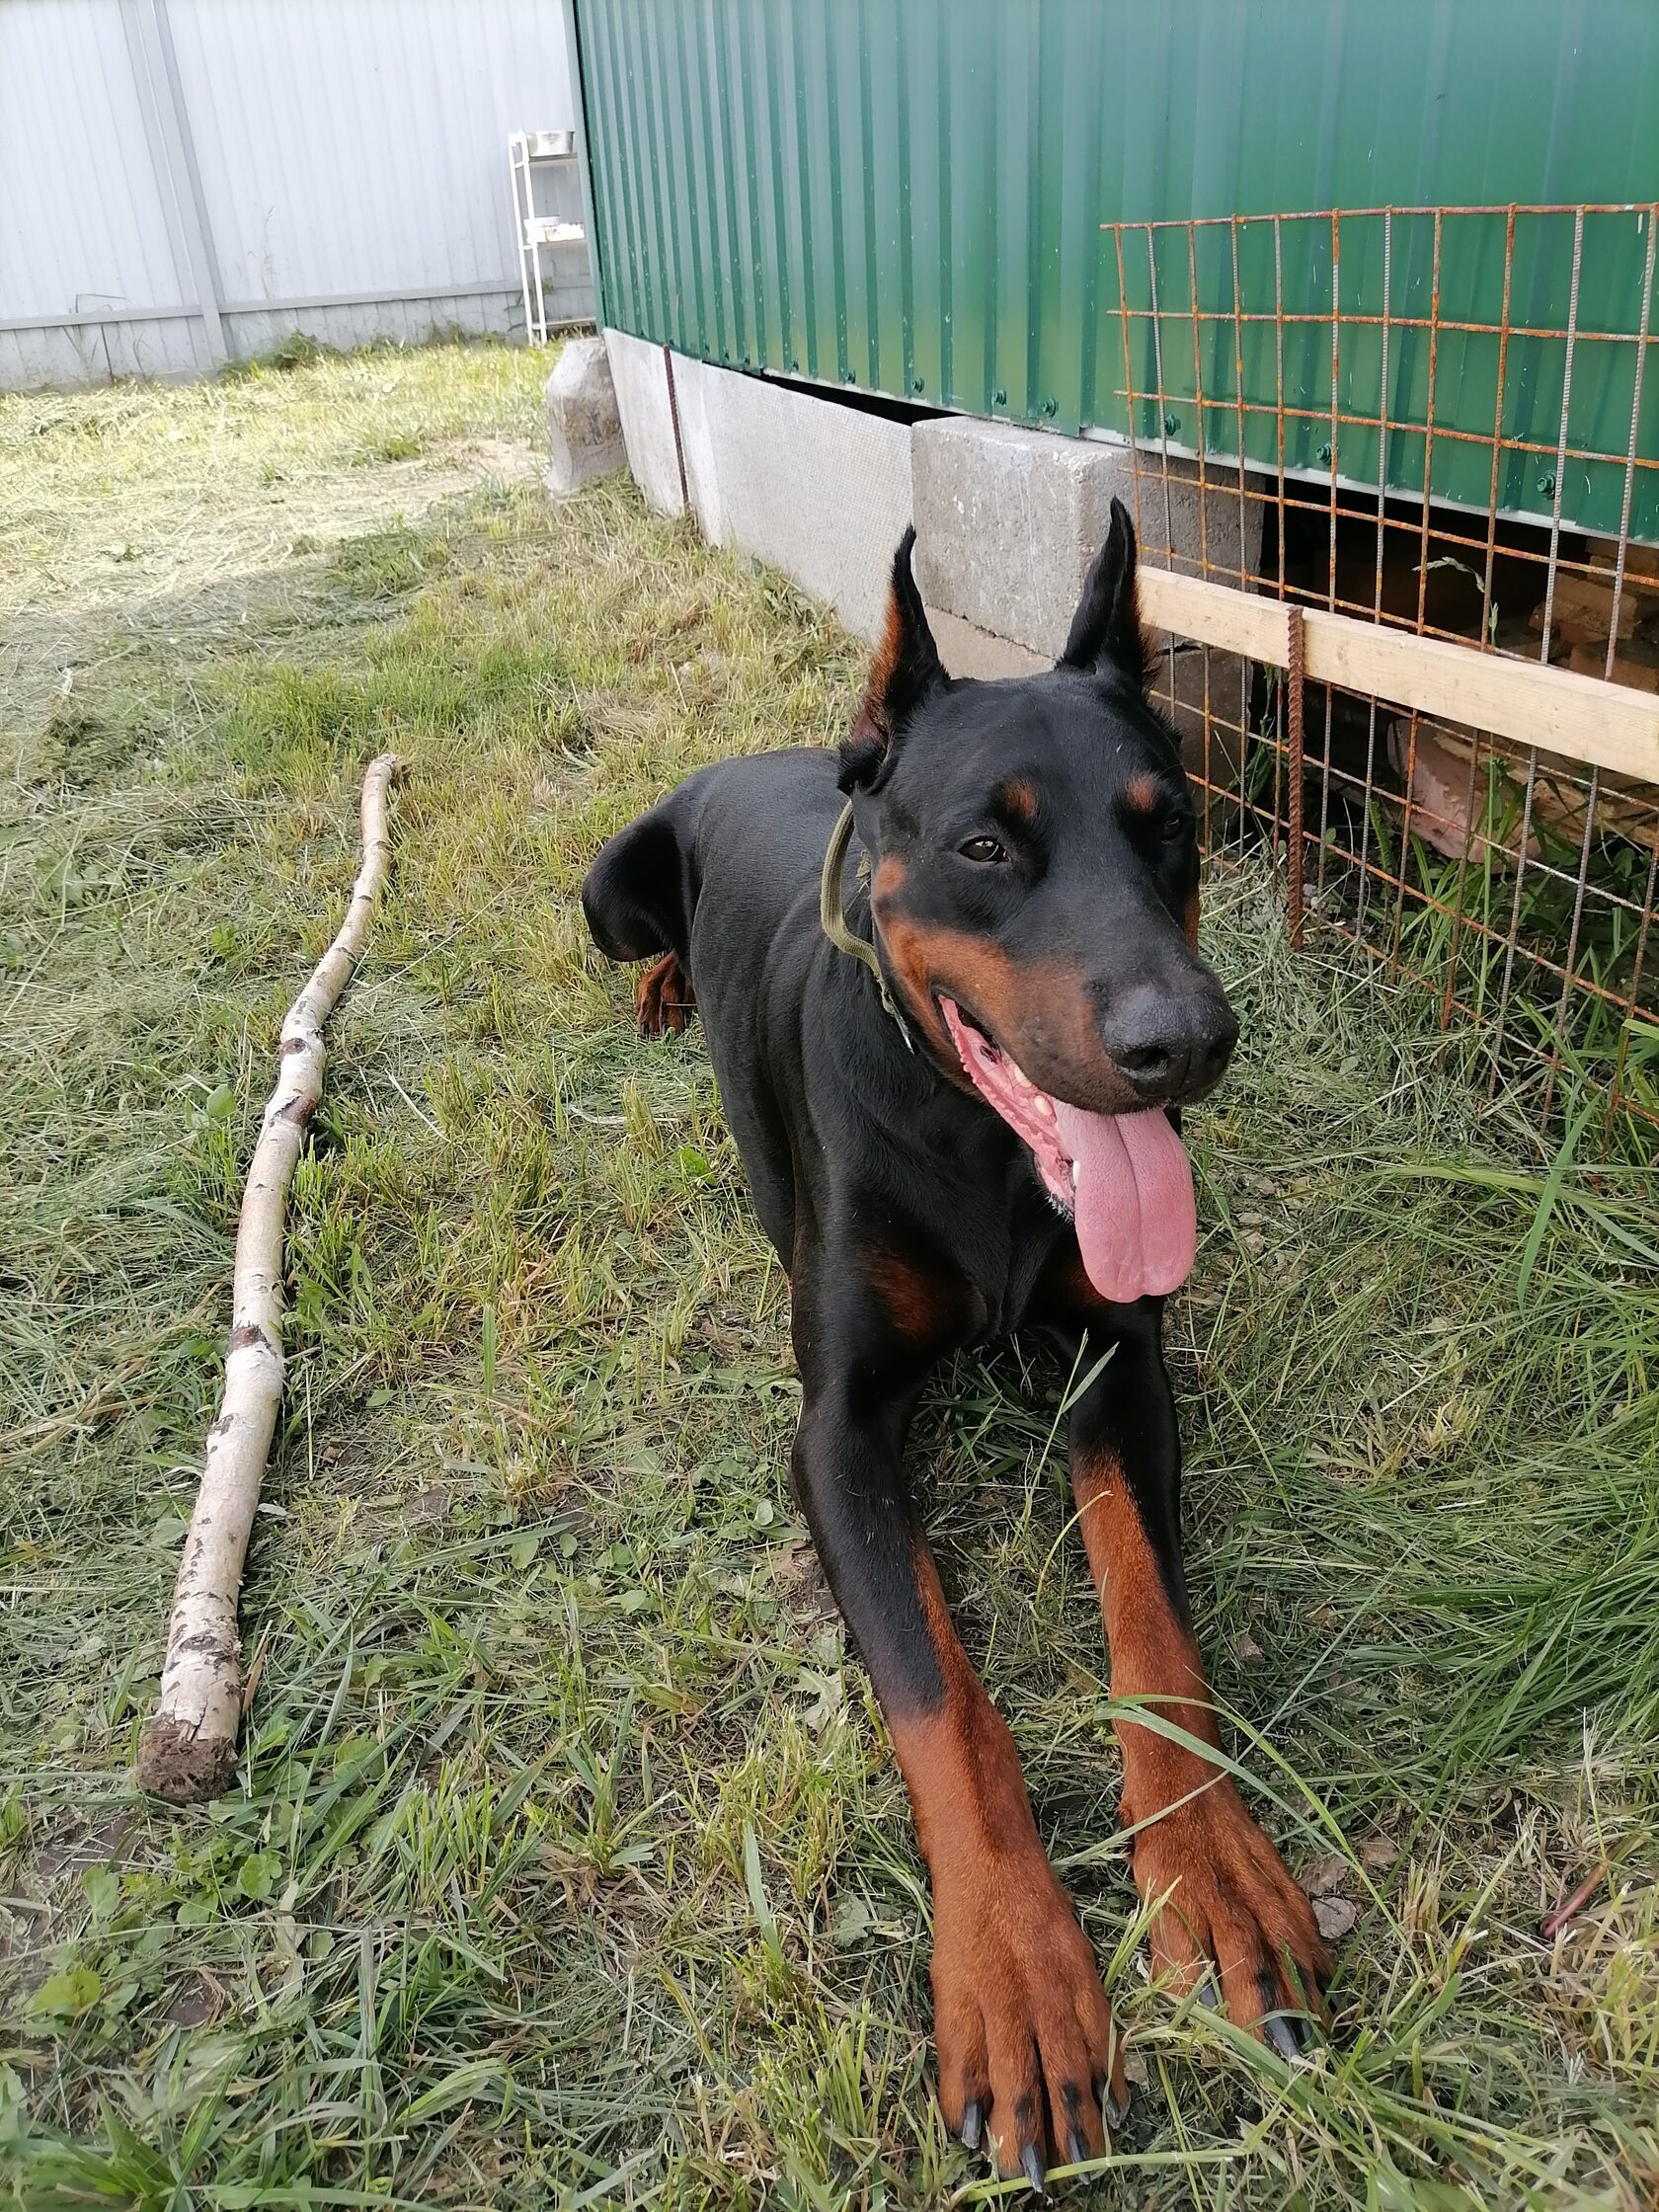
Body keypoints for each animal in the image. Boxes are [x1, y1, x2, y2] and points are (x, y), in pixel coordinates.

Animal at [579, 506, 1335, 2194]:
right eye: (988, 847)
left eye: (1172, 828)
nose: (1188, 1042)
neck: (982, 1152)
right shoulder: (839, 1430)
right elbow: (942, 1699)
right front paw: (1018, 1975)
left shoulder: (1122, 1370)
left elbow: (1155, 1637)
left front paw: (1212, 1872)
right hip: (606, 885)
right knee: (627, 943)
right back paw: (662, 986)